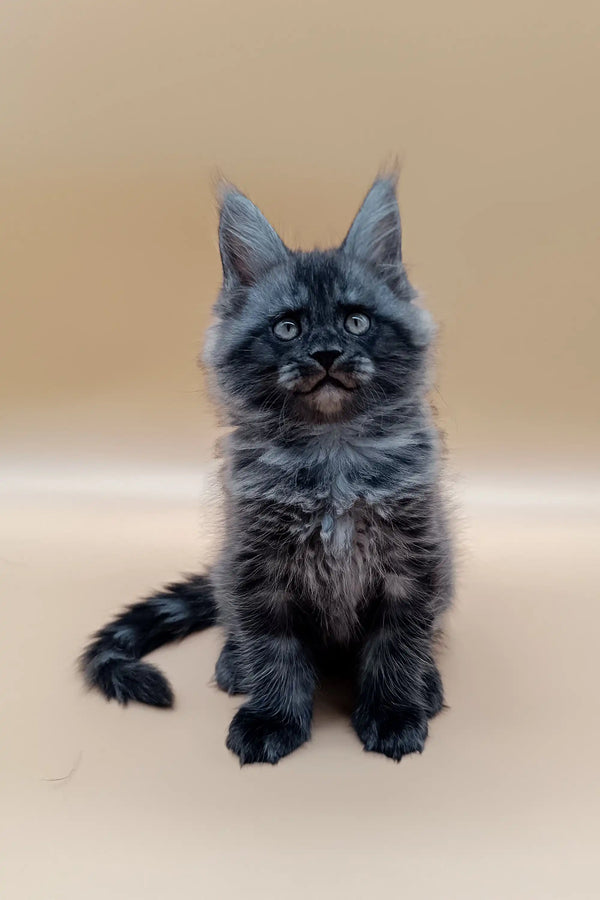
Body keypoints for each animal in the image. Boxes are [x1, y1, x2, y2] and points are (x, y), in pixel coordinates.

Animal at [81, 176, 454, 768]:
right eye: (287, 328)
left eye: (355, 321)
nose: (326, 353)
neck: (331, 457)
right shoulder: (258, 566)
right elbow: (274, 652)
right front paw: (272, 718)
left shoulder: (413, 560)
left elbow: (396, 646)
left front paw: (395, 711)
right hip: (228, 568)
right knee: (237, 627)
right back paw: (235, 664)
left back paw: (429, 684)